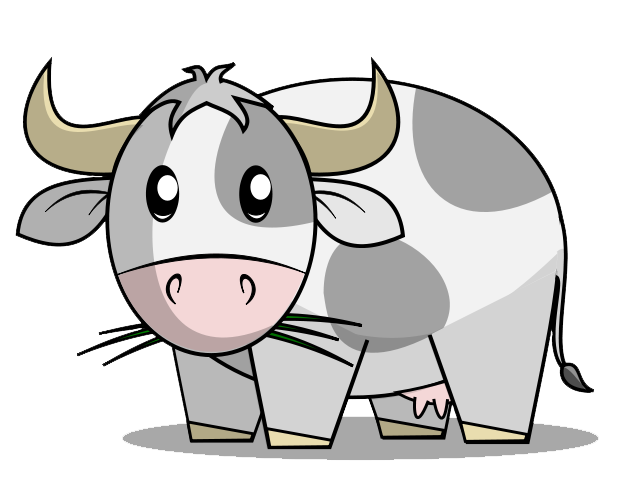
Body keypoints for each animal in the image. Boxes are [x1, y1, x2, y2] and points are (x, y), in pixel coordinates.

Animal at [17, 59, 592, 448]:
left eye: (260, 191)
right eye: (159, 192)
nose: (211, 292)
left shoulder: (320, 342)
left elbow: (300, 402)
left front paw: (294, 447)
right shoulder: (195, 358)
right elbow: (212, 405)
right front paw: (217, 441)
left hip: (503, 323)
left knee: (495, 381)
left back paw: (493, 436)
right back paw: (410, 434)